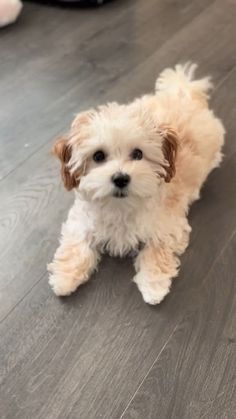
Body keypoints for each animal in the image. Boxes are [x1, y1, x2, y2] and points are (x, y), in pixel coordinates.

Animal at [48, 64, 225, 304]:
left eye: (138, 154)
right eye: (98, 156)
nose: (121, 178)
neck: (120, 206)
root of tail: (183, 93)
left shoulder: (168, 224)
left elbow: (157, 250)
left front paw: (154, 286)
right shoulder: (82, 220)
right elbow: (76, 245)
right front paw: (64, 278)